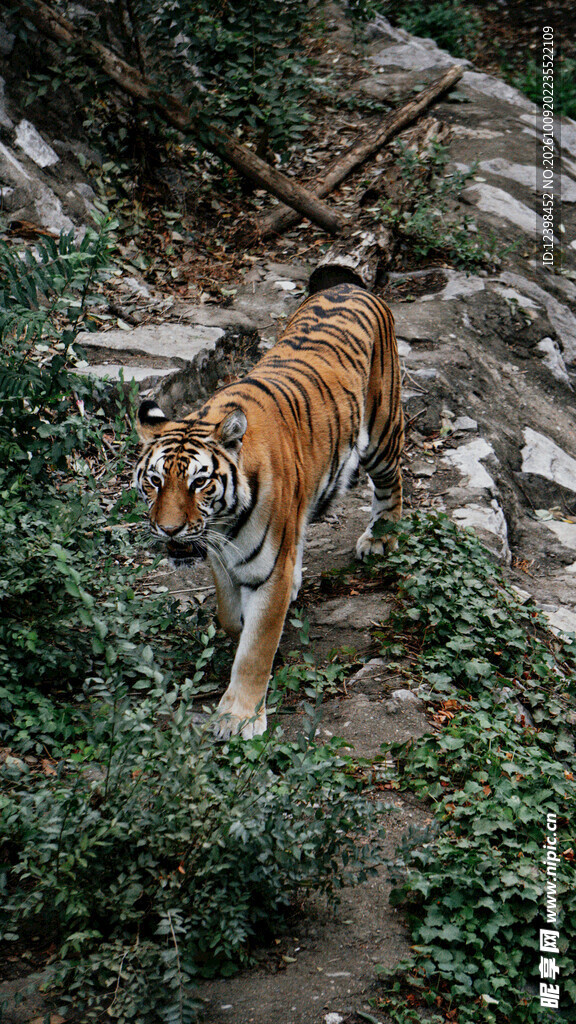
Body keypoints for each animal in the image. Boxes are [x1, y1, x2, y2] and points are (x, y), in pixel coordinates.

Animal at [135, 283, 403, 739]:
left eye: (198, 483)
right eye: (154, 481)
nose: (168, 530)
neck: (224, 523)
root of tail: (350, 285)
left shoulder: (267, 569)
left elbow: (256, 649)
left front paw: (238, 718)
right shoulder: (220, 556)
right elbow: (230, 616)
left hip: (382, 432)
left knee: (392, 483)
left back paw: (381, 539)